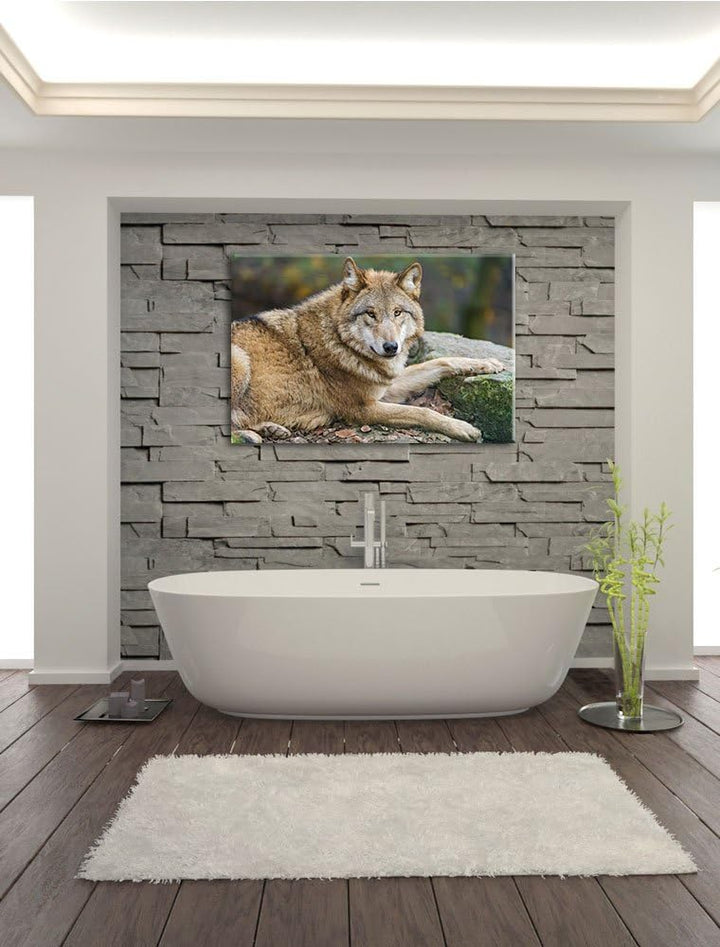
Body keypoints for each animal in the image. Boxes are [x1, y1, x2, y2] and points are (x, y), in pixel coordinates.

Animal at [230, 257, 504, 443]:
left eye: (397, 312)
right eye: (371, 314)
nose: (391, 347)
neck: (341, 342)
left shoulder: (386, 385)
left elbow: (440, 362)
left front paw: (487, 363)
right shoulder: (364, 409)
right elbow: (422, 412)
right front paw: (463, 428)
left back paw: (271, 429)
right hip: (240, 360)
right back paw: (252, 435)